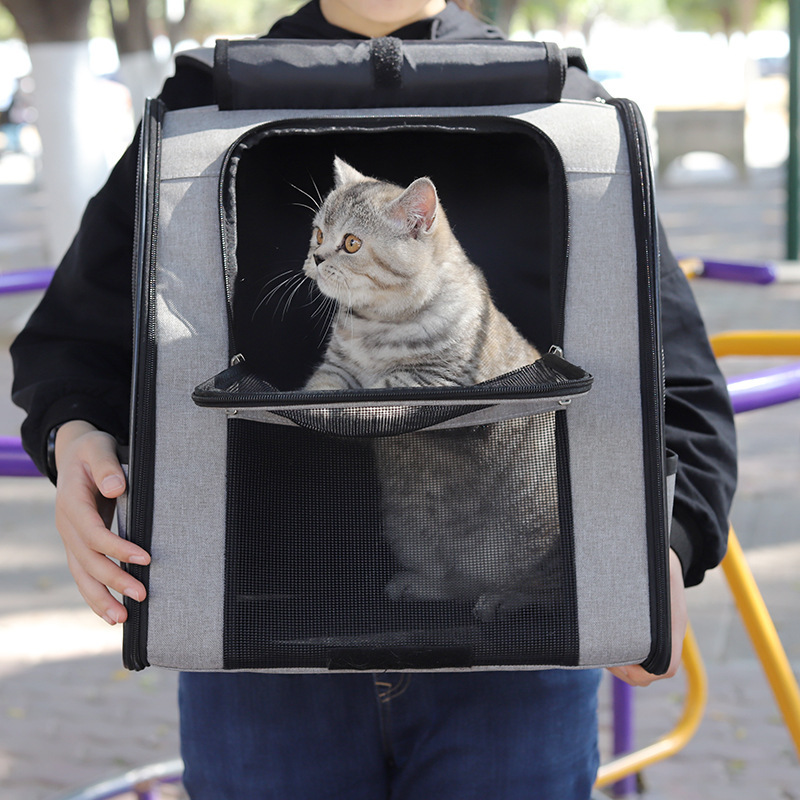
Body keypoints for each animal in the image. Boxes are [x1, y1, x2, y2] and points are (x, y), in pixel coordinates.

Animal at [304, 156, 560, 620]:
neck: (374, 326)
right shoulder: (338, 368)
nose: (315, 256)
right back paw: (423, 584)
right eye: (317, 233)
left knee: (543, 585)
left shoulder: (436, 378)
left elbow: (384, 386)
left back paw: (505, 597)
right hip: (413, 534)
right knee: (456, 581)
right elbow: (321, 384)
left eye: (350, 243)